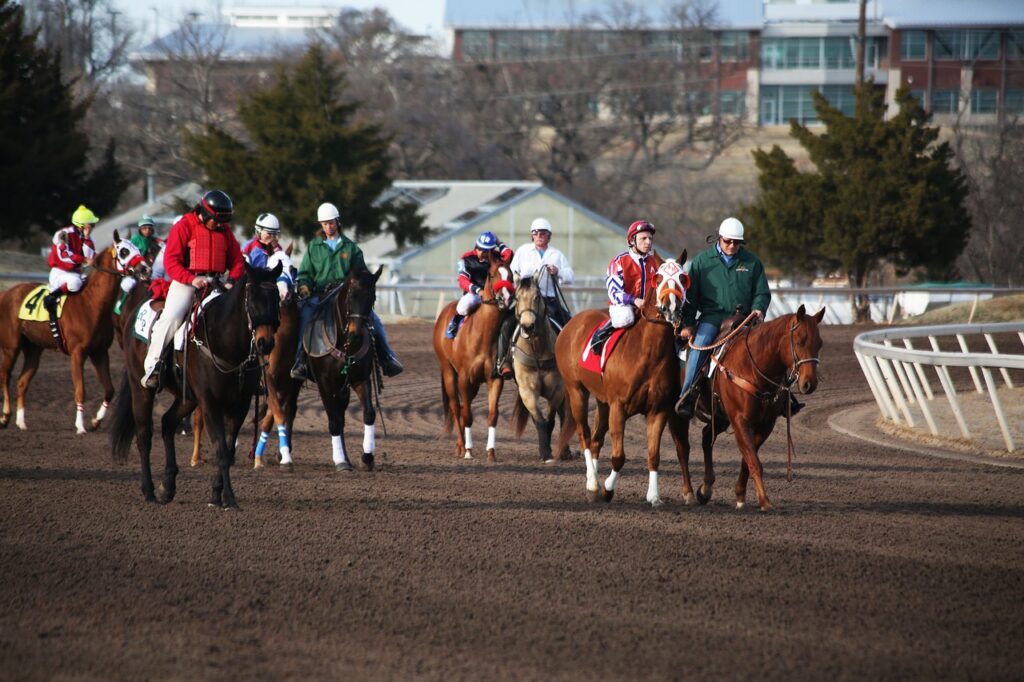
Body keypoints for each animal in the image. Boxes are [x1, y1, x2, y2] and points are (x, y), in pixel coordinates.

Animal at [0, 228, 149, 430]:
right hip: (11, 346)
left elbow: (110, 389)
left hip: (33, 349)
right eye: (124, 251)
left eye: (137, 248)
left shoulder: (100, 352)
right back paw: (5, 416)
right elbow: (80, 390)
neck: (91, 303)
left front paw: (95, 421)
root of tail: (7, 293)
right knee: (5, 376)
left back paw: (21, 422)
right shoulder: (77, 353)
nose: (146, 268)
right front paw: (80, 425)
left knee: (22, 382)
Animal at [111, 260, 284, 503]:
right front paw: (227, 497)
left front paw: (217, 493)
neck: (226, 344)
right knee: (144, 435)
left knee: (167, 423)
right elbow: (221, 449)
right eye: (252, 299)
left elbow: (229, 449)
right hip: (141, 388)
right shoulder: (210, 403)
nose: (265, 343)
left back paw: (167, 486)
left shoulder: (240, 404)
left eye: (276, 298)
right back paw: (149, 491)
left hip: (188, 398)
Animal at [432, 250, 516, 462]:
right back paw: (462, 446)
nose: (506, 298)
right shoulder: (464, 378)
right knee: (456, 407)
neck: (483, 335)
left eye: (511, 275)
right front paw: (469, 450)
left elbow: (492, 415)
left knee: (462, 407)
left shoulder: (495, 379)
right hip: (449, 372)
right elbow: (467, 414)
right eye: (492, 275)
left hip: (475, 384)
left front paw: (491, 452)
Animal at [557, 250, 692, 503]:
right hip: (576, 390)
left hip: (602, 402)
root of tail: (572, 323)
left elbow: (653, 455)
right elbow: (618, 456)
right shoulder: (618, 405)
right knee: (584, 434)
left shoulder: (657, 409)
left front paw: (654, 496)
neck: (647, 353)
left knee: (596, 439)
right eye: (658, 278)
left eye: (682, 277)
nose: (670, 307)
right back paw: (592, 484)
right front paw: (607, 488)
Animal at [679, 303, 823, 509]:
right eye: (800, 340)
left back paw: (705, 489)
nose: (809, 383)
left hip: (721, 417)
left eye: (819, 343)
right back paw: (688, 493)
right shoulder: (740, 421)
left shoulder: (765, 424)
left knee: (707, 436)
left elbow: (747, 460)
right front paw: (765, 501)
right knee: (683, 448)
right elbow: (754, 461)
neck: (753, 367)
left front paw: (740, 495)